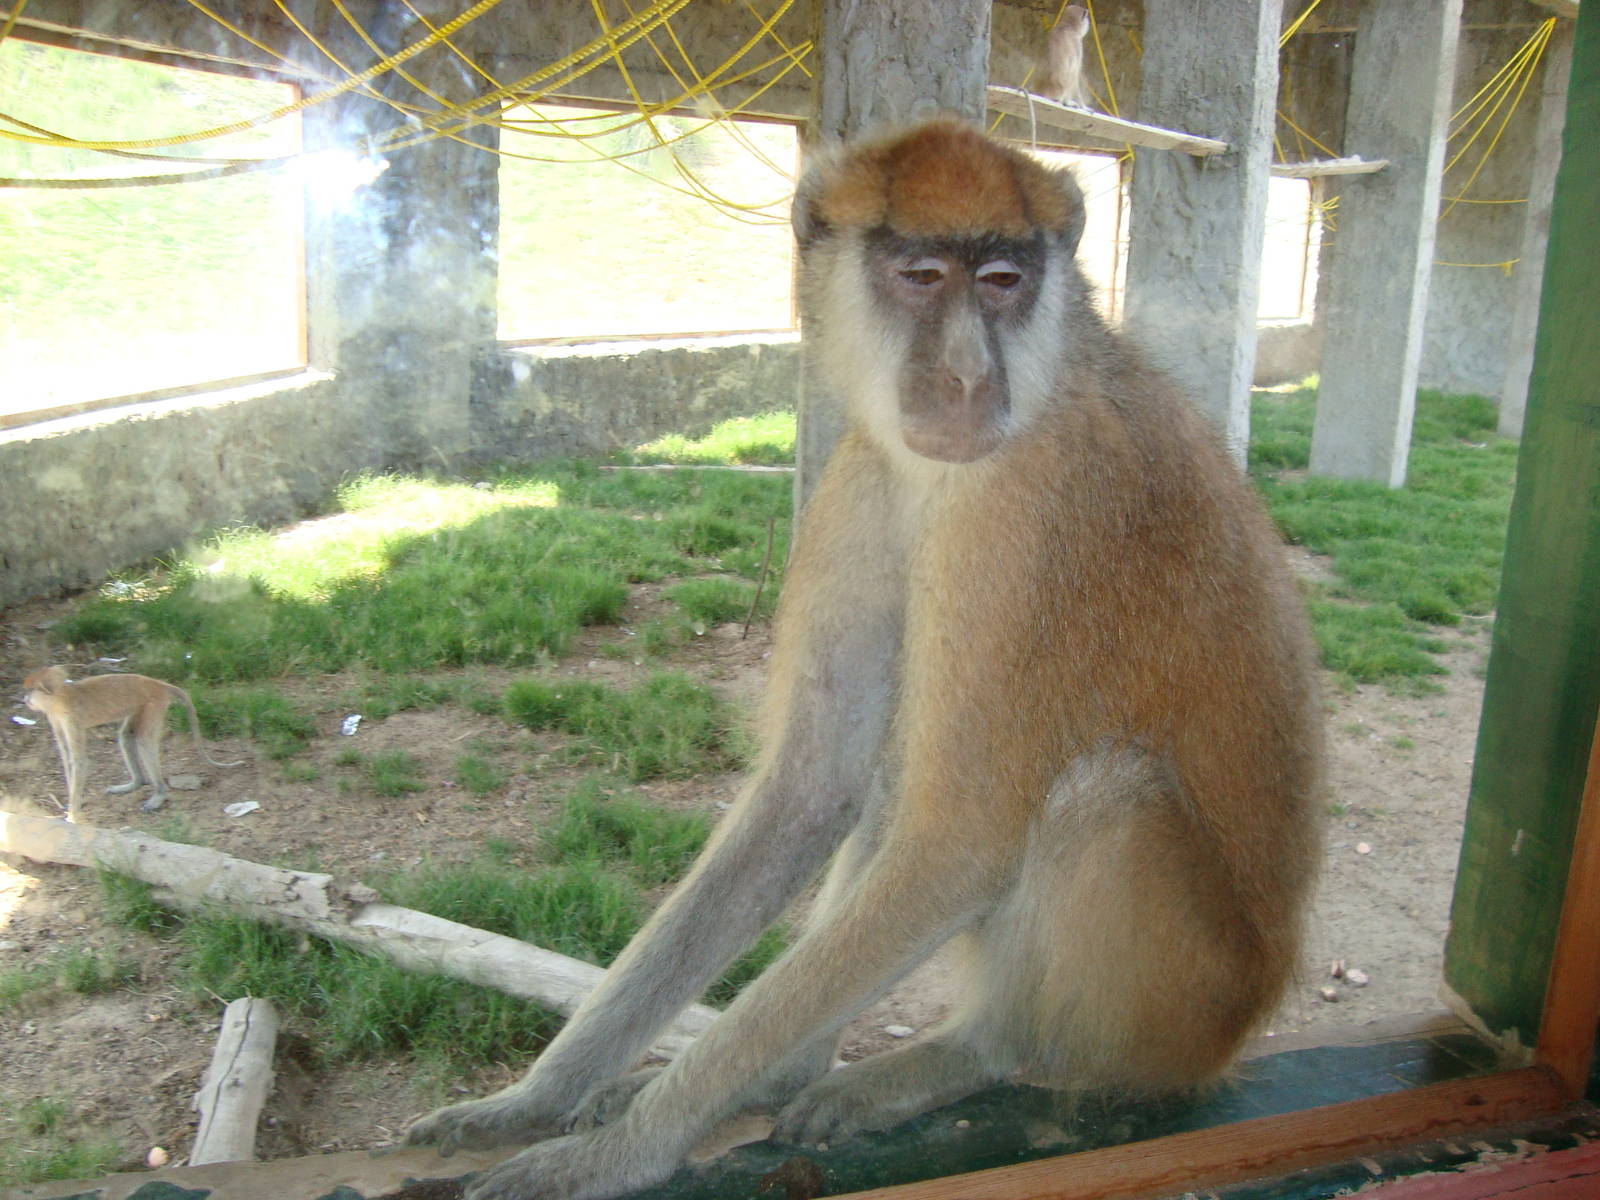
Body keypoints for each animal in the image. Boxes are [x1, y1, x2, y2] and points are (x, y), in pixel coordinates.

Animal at [22, 666, 245, 823]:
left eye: (31, 690)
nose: (24, 698)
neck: (62, 697)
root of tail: (158, 684)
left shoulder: (71, 717)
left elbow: (79, 761)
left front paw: (73, 815)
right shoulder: (55, 718)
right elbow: (67, 758)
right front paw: (73, 802)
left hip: (154, 704)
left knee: (145, 741)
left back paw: (158, 794)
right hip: (140, 706)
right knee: (127, 736)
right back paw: (136, 783)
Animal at [404, 118, 1322, 1200]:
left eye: (1003, 281)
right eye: (922, 276)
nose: (965, 378)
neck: (1049, 377)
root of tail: (1242, 1019)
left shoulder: (1029, 518)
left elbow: (957, 845)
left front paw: (618, 1152)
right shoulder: (869, 476)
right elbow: (812, 790)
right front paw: (536, 1099)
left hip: (1179, 998)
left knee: (1103, 792)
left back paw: (974, 1052)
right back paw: (786, 1073)